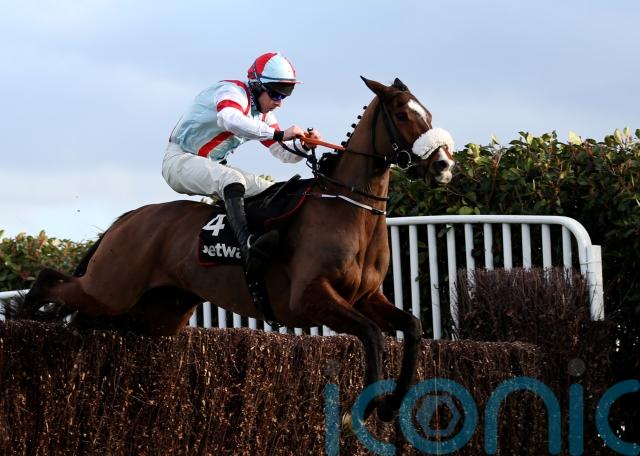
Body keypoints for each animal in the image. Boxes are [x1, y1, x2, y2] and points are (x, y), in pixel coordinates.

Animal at [17, 76, 455, 422]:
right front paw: (364, 407)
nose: (444, 165)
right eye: (402, 115)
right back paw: (24, 318)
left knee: (88, 316)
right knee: (50, 280)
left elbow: (412, 327)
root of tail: (129, 218)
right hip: (112, 287)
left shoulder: (366, 297)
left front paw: (391, 404)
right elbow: (372, 335)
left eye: (429, 113)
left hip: (154, 313)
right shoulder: (310, 298)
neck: (347, 209)